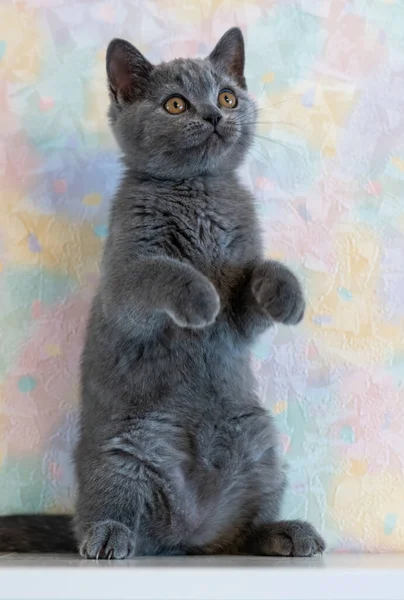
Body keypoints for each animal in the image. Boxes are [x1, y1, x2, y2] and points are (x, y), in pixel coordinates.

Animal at [0, 28, 324, 560]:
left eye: (228, 97)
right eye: (175, 104)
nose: (214, 115)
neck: (197, 191)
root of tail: (188, 535)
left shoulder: (242, 308)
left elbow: (259, 274)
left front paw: (287, 295)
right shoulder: (123, 281)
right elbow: (159, 270)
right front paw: (201, 297)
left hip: (261, 446)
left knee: (242, 535)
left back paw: (285, 533)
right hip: (120, 452)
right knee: (108, 513)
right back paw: (109, 537)